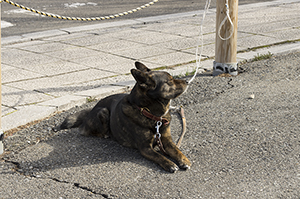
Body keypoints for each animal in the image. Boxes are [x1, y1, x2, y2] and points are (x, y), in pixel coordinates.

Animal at [54, 62, 191, 173]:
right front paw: (169, 164)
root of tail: (91, 110)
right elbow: (159, 156)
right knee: (89, 131)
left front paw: (184, 160)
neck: (151, 114)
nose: (187, 81)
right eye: (170, 81)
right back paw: (106, 134)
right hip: (103, 112)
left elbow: (176, 150)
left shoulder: (167, 140)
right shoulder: (145, 148)